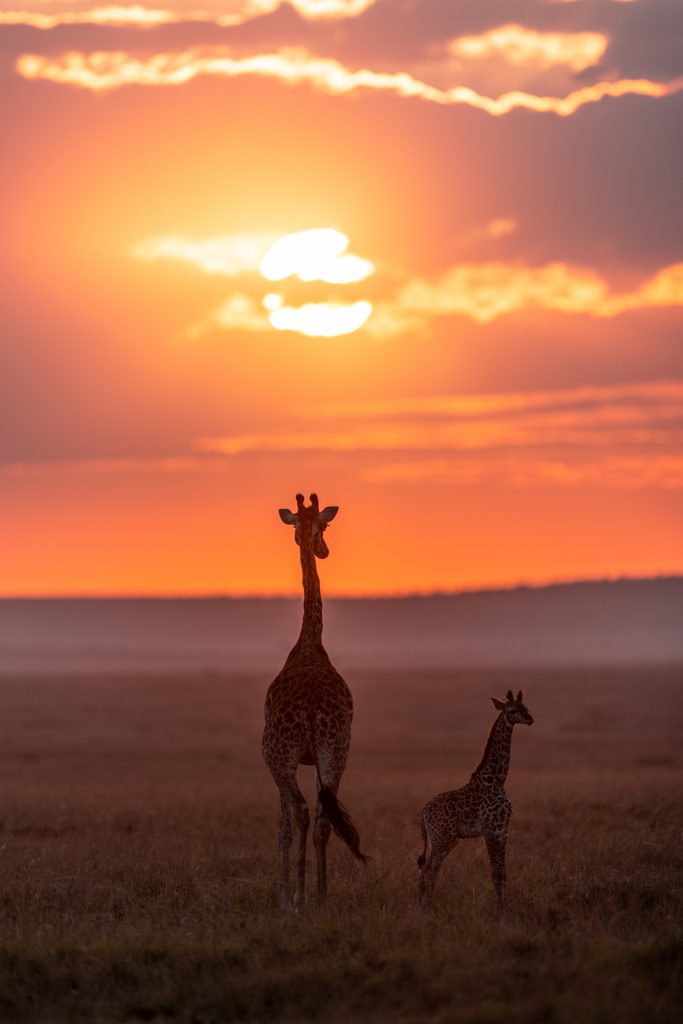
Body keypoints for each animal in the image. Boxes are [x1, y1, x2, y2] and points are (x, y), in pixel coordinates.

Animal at [262, 492, 368, 910]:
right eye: (324, 526)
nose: (323, 549)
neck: (309, 643)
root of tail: (309, 711)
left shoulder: (278, 758)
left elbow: (282, 825)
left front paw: (284, 894)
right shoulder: (322, 757)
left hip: (283, 755)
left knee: (303, 812)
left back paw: (297, 896)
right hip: (336, 751)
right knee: (324, 817)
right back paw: (320, 897)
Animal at [417, 689, 534, 916]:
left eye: (526, 707)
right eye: (512, 710)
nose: (530, 719)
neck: (497, 778)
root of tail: (423, 813)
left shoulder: (503, 830)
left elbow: (503, 874)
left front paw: (505, 910)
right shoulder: (492, 830)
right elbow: (496, 874)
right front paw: (503, 915)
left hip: (440, 839)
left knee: (425, 870)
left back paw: (419, 907)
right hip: (444, 838)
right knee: (429, 870)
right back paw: (428, 910)